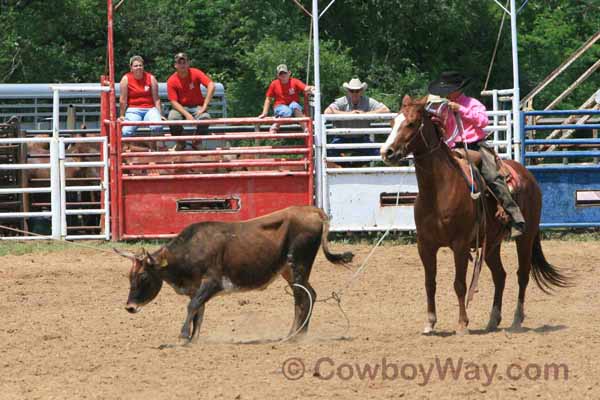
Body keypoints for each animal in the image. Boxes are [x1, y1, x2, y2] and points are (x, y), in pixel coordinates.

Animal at [382, 96, 568, 334]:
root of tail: (527, 175)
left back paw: (516, 320)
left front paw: (462, 324)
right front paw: (430, 323)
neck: (438, 191)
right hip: (491, 244)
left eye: (412, 123)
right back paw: (493, 319)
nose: (386, 152)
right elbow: (429, 283)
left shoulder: (460, 244)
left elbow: (460, 284)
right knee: (500, 275)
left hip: (526, 237)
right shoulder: (425, 245)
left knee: (522, 274)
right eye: (392, 123)